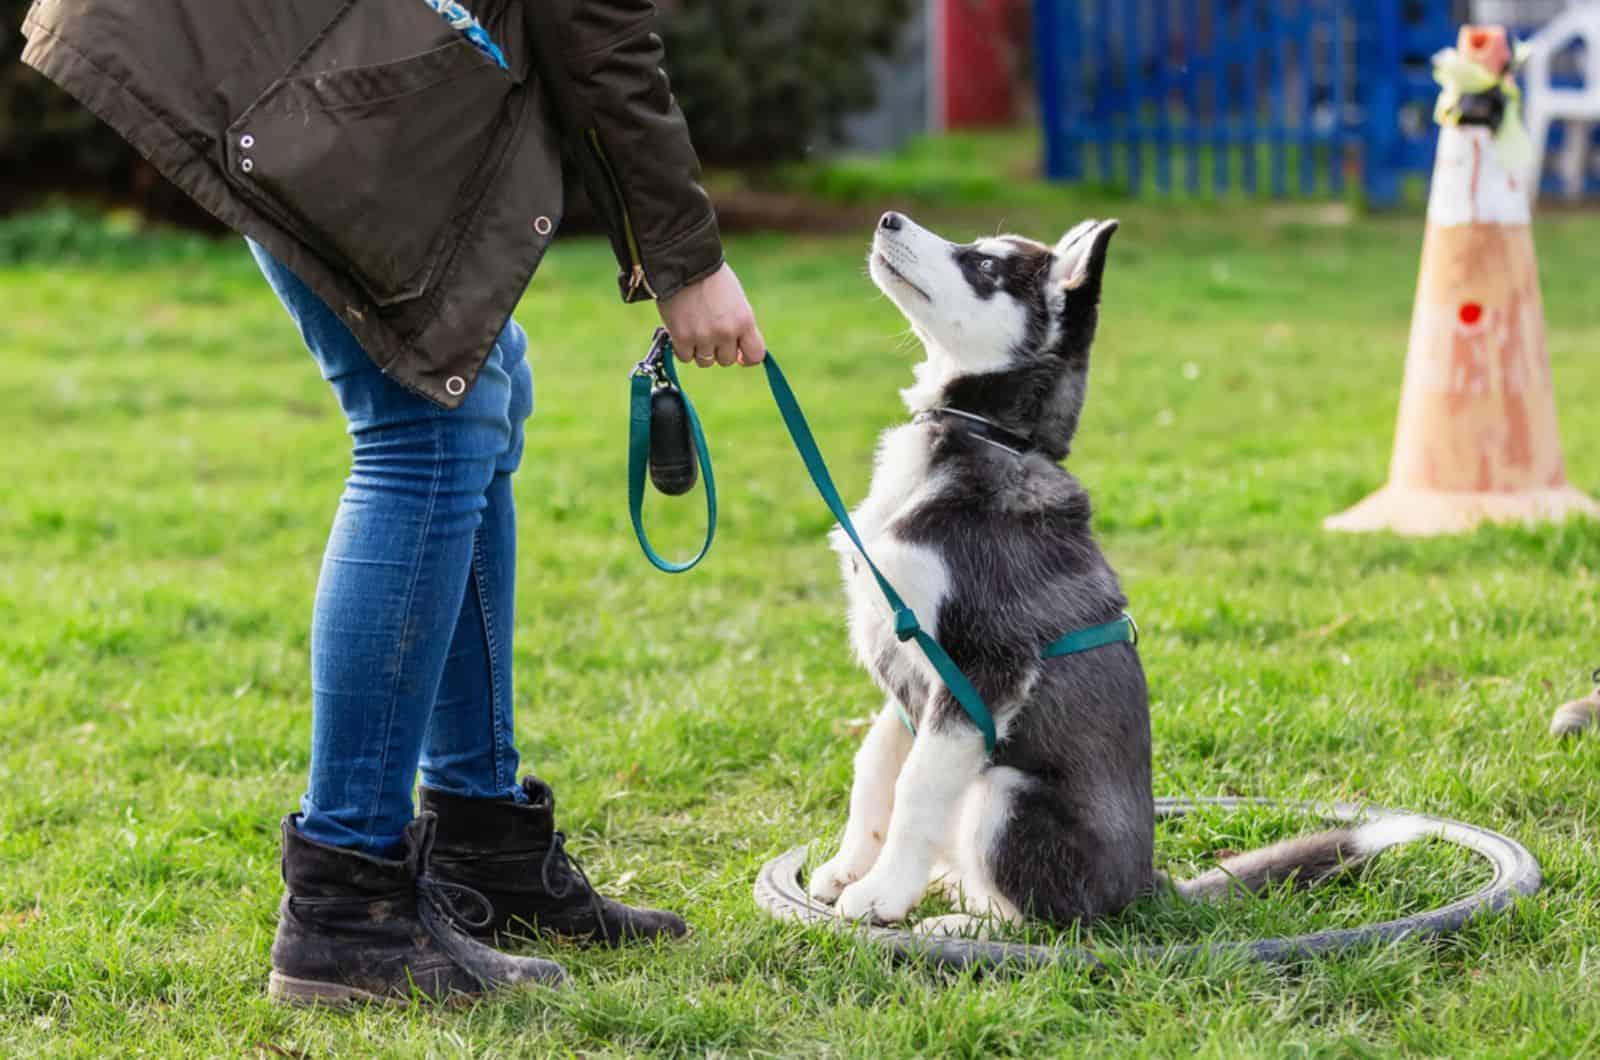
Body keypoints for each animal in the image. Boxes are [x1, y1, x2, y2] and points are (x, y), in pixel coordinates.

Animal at [812, 216, 1414, 941]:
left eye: (983, 265)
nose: (889, 219)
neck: (988, 437)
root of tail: (1146, 886)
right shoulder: (912, 676)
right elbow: (874, 765)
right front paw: (848, 866)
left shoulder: (984, 668)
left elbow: (917, 787)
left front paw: (881, 895)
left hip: (1005, 794)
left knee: (1048, 917)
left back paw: (959, 925)